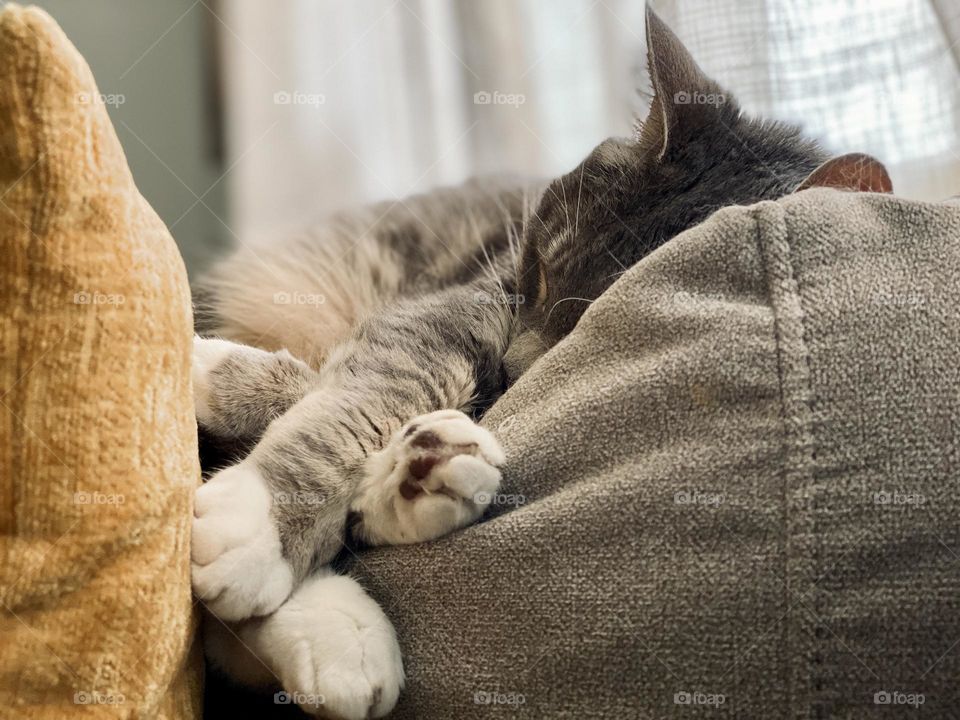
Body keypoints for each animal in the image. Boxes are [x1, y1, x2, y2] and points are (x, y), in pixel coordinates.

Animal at [191, 7, 888, 720]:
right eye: (544, 271)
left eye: (594, 320)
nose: (511, 365)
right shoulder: (464, 302)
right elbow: (386, 379)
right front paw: (262, 511)